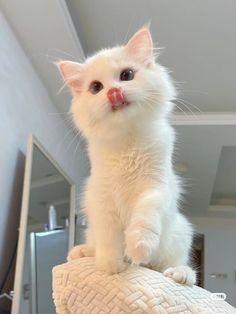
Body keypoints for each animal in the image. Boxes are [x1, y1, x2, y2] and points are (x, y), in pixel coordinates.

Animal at [58, 28, 195, 286]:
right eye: (96, 87)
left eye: (127, 75)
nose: (113, 92)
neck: (126, 143)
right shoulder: (101, 198)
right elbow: (108, 237)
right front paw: (111, 266)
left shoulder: (155, 188)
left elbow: (144, 218)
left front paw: (138, 248)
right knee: (94, 242)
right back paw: (83, 252)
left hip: (180, 233)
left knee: (171, 266)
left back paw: (179, 274)